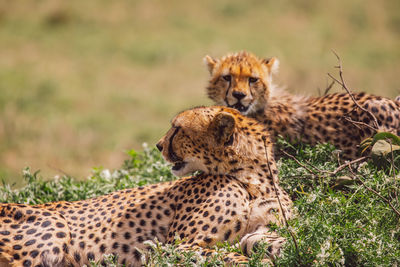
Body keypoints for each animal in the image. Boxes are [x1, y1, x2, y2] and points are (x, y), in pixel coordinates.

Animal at [0, 107, 294, 267]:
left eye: (177, 129)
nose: (158, 145)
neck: (252, 177)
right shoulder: (179, 247)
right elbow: (230, 258)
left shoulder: (260, 233)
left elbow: (271, 243)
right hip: (53, 224)